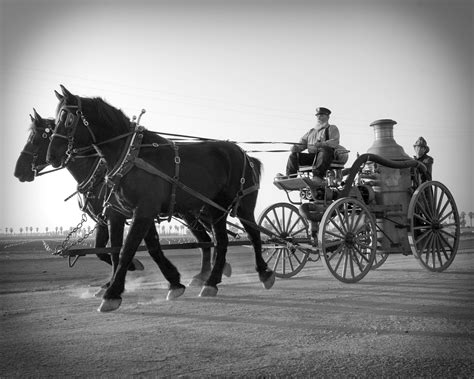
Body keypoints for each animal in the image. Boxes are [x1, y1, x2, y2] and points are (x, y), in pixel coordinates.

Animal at [13, 108, 229, 296]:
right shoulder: (105, 218)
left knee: (208, 238)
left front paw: (124, 274)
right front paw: (117, 279)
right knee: (208, 238)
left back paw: (208, 274)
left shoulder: (117, 214)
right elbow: (103, 250)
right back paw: (210, 272)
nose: (18, 172)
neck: (99, 172)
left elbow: (115, 249)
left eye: (36, 139)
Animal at [46, 85, 276, 312]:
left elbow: (126, 250)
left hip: (243, 205)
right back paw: (211, 281)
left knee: (254, 235)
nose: (52, 156)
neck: (131, 155)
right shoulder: (127, 212)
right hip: (215, 209)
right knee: (221, 241)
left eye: (68, 119)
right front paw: (173, 282)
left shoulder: (143, 210)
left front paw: (112, 294)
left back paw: (264, 273)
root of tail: (245, 153)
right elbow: (141, 248)